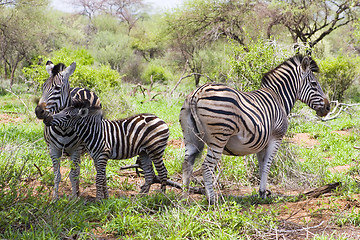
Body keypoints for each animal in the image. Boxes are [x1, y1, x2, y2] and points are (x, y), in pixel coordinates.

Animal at [34, 61, 101, 200]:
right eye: (43, 87)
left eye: (57, 88)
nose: (38, 111)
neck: (63, 127)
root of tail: (83, 88)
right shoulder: (53, 149)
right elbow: (57, 175)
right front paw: (54, 199)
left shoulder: (76, 150)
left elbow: (73, 174)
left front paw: (74, 199)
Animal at [180, 54, 332, 204]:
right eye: (314, 84)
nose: (328, 107)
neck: (278, 98)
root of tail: (197, 93)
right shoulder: (276, 138)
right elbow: (267, 166)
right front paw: (264, 193)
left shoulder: (261, 143)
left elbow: (261, 166)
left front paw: (261, 193)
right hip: (219, 137)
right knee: (206, 166)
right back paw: (212, 200)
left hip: (190, 137)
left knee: (187, 163)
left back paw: (184, 199)